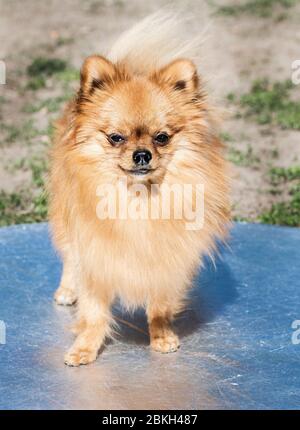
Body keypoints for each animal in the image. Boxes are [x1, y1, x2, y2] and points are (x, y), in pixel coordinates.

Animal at [48, 15, 230, 368]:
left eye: (162, 138)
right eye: (116, 138)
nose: (142, 154)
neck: (138, 201)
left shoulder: (166, 258)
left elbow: (159, 304)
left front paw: (161, 335)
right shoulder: (94, 255)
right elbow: (93, 311)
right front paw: (85, 347)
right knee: (69, 259)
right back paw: (67, 290)